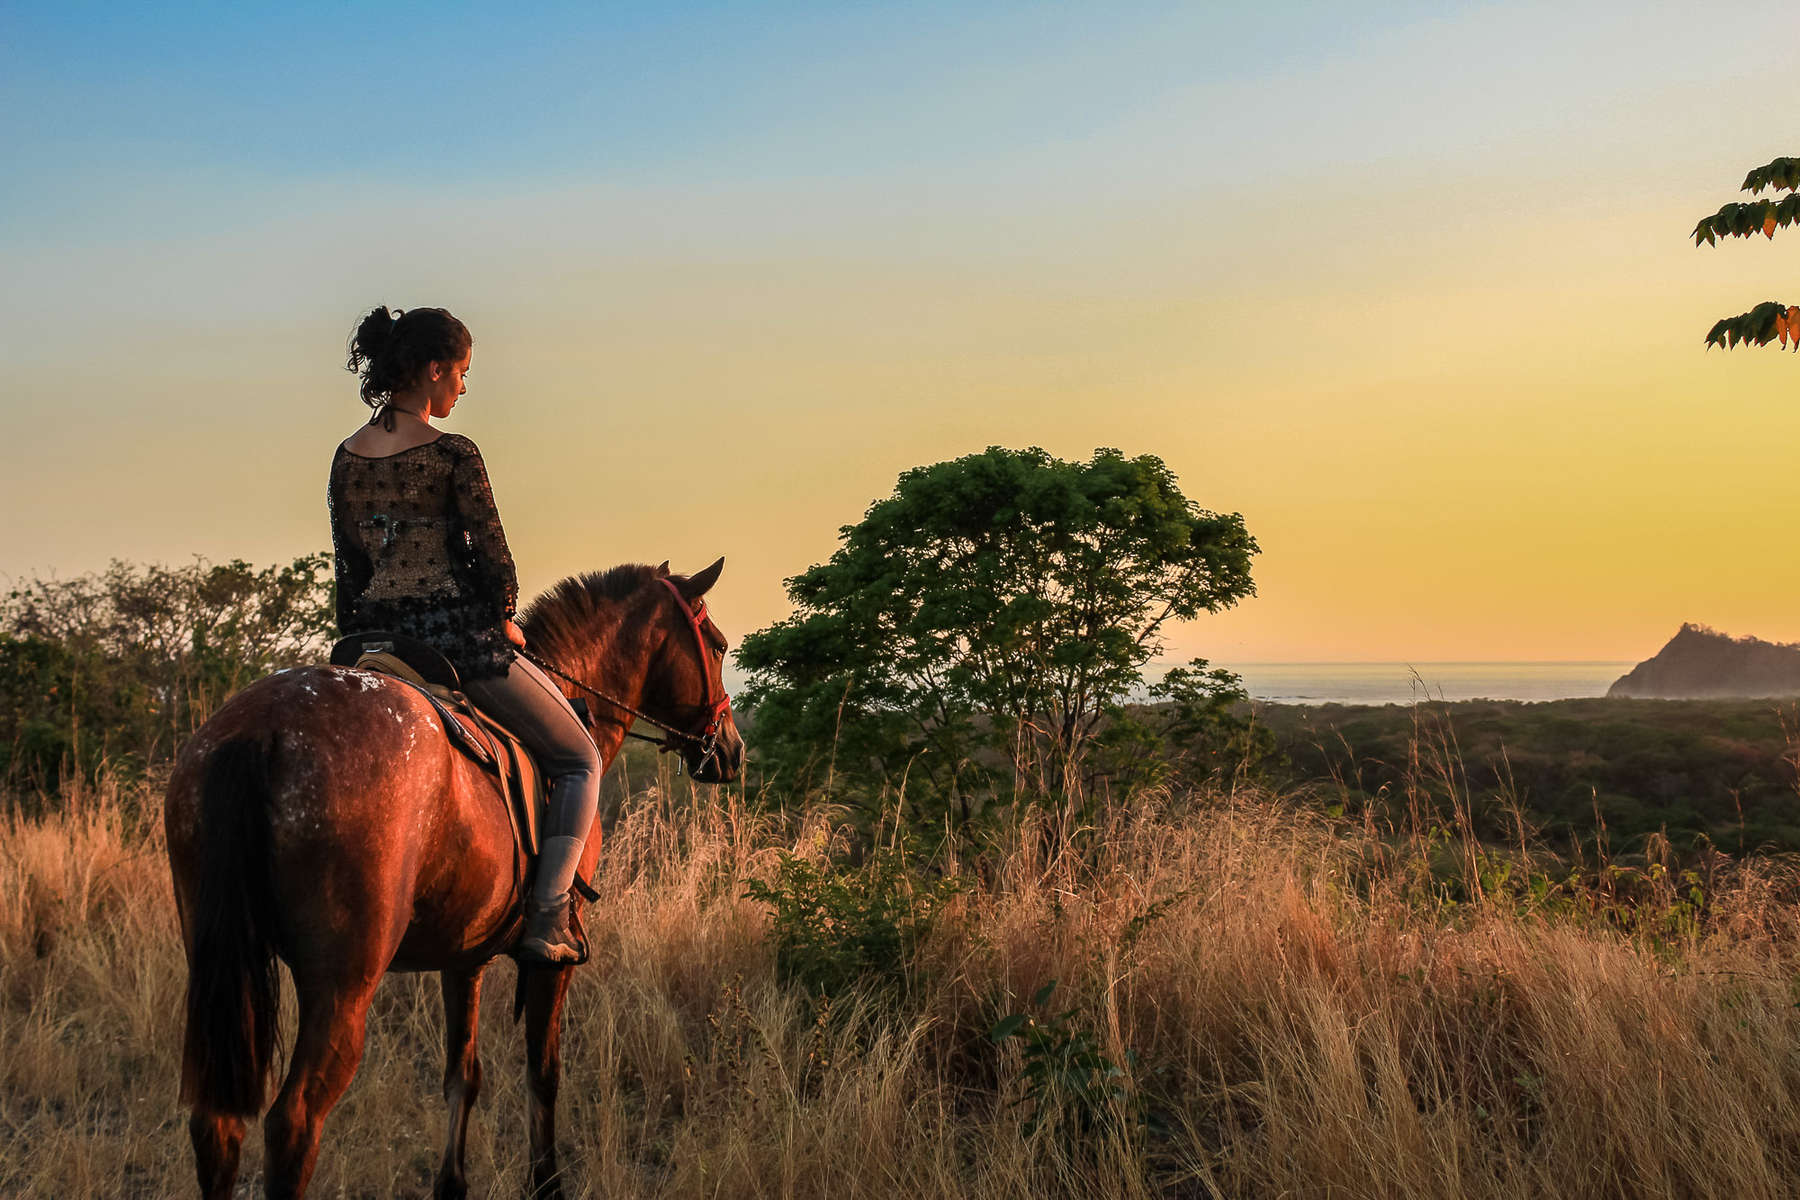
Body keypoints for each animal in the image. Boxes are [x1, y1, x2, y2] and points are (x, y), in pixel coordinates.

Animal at [162, 564, 738, 1200]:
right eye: (718, 646)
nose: (731, 749)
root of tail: (266, 726)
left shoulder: (465, 957)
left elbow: (463, 1075)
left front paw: (452, 1184)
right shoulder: (552, 963)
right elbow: (544, 1072)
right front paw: (546, 1184)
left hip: (224, 966)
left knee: (216, 1126)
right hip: (342, 986)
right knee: (294, 1122)